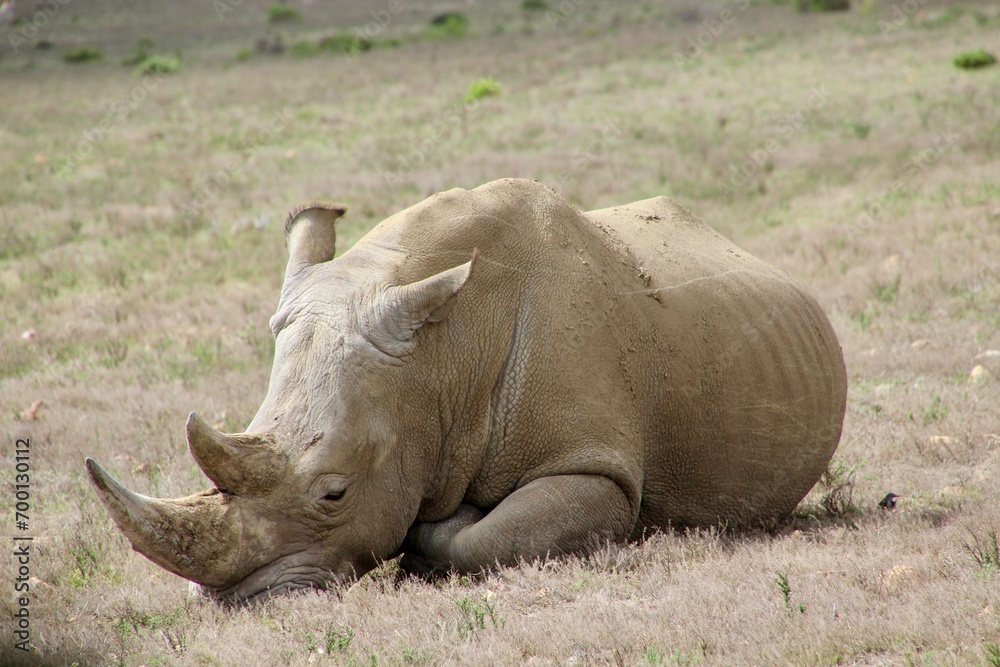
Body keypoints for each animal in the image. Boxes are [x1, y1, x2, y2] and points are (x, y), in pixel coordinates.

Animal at [86, 178, 847, 603]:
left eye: (334, 494)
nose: (234, 599)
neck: (441, 356)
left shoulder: (597, 465)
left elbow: (490, 537)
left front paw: (432, 537)